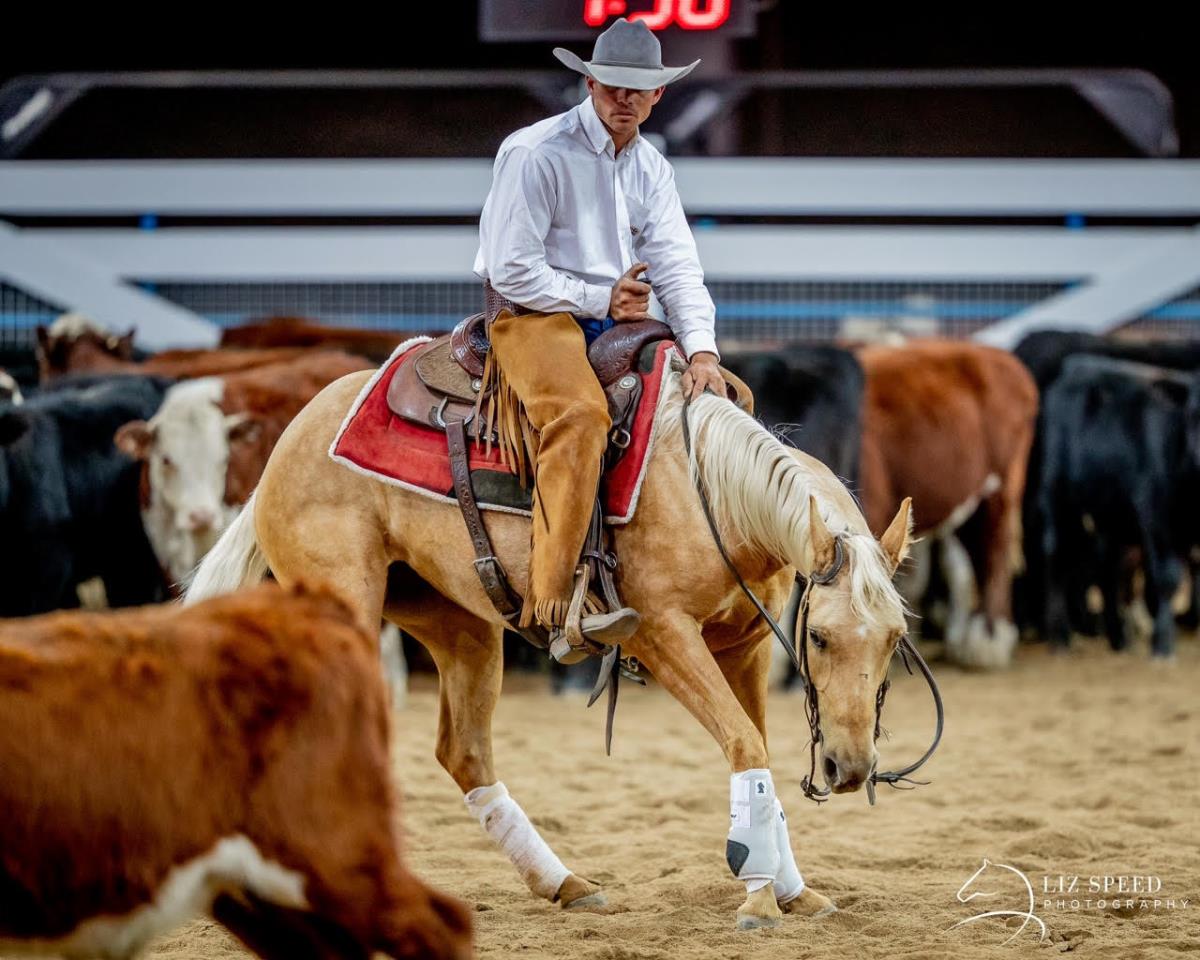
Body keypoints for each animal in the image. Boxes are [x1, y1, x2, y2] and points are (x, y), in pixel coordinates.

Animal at [186, 343, 917, 930]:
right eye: (817, 637)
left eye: (892, 641)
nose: (850, 769)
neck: (708, 491)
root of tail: (288, 442)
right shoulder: (663, 633)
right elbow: (744, 742)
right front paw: (761, 897)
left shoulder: (744, 643)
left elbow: (754, 745)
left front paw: (792, 890)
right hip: (344, 610)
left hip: (461, 626)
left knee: (464, 753)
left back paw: (563, 883)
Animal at [1038, 355, 1200, 659]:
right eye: (1194, 414)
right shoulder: (1154, 514)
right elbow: (1167, 577)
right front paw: (1162, 644)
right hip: (1057, 495)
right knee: (1056, 556)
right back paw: (1060, 638)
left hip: (1109, 516)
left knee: (1107, 568)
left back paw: (1118, 637)